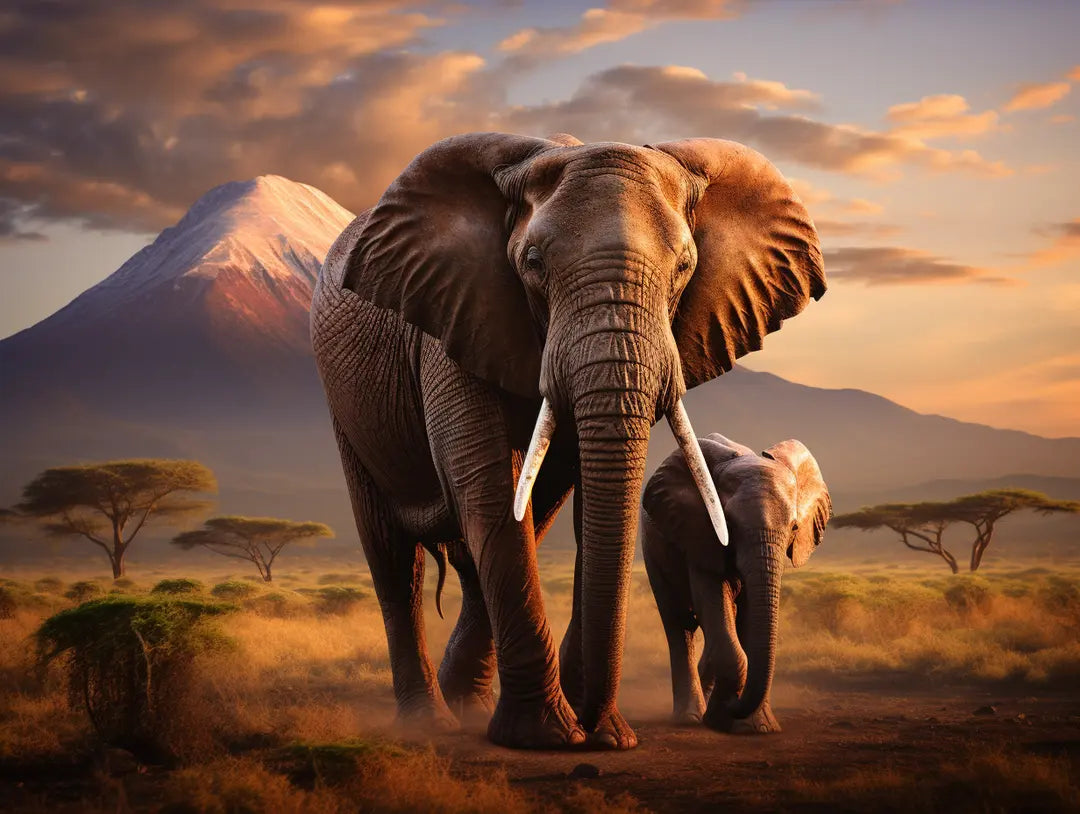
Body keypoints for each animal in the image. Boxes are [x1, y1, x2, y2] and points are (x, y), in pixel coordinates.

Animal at [641, 434, 831, 734]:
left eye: (794, 528)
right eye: (728, 523)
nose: (733, 704)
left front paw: (758, 727)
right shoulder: (700, 532)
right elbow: (713, 598)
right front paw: (720, 717)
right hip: (652, 548)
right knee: (678, 623)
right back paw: (690, 716)